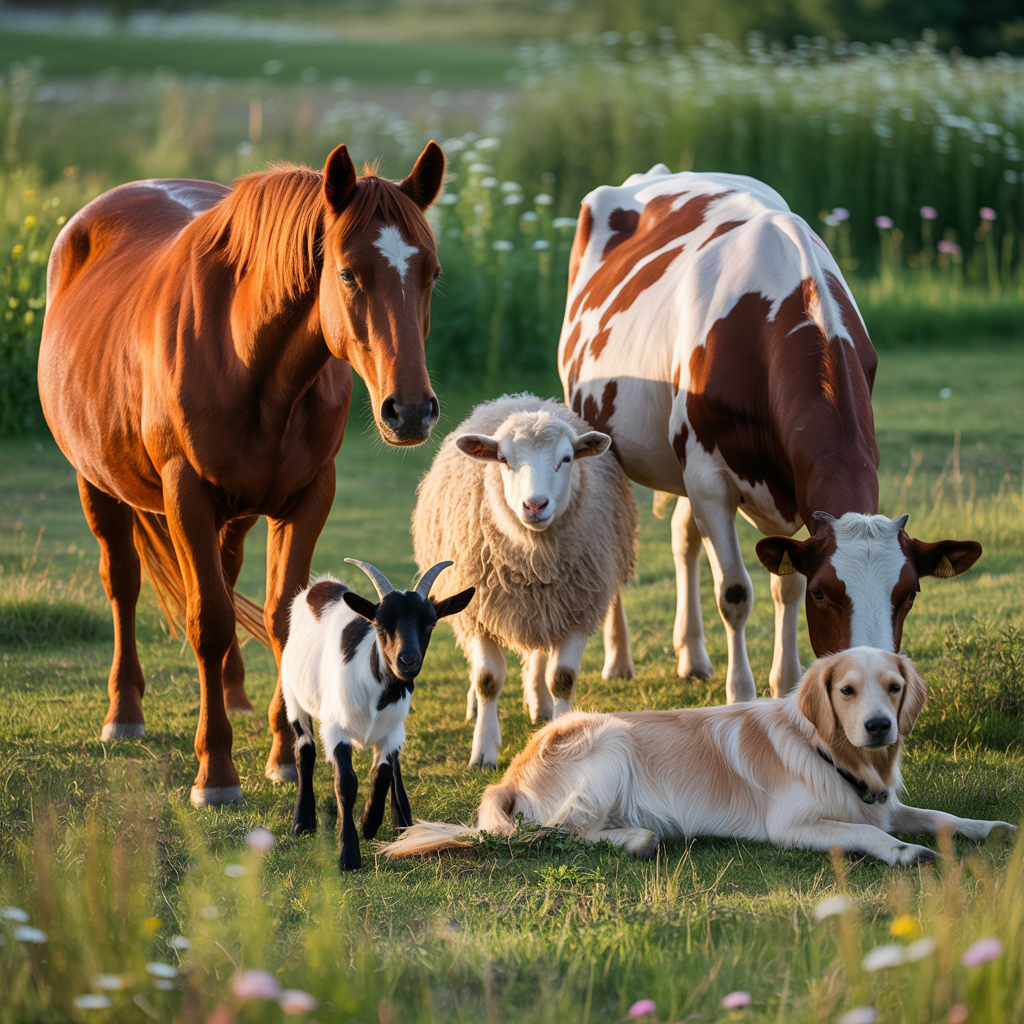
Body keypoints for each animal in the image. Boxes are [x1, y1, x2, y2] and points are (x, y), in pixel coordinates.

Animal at [39, 141, 446, 805]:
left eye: (431, 272)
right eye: (348, 274)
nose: (410, 410)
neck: (247, 356)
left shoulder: (309, 495)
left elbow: (284, 617)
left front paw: (285, 754)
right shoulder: (187, 494)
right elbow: (207, 620)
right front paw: (217, 773)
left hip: (238, 513)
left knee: (225, 578)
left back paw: (233, 694)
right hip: (95, 482)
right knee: (123, 581)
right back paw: (124, 714)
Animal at [558, 165, 981, 703]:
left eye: (909, 593)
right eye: (825, 593)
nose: (874, 680)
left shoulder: (786, 488)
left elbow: (785, 583)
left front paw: (787, 687)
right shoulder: (710, 481)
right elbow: (735, 593)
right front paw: (741, 696)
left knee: (682, 537)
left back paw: (692, 655)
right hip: (601, 442)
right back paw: (618, 659)